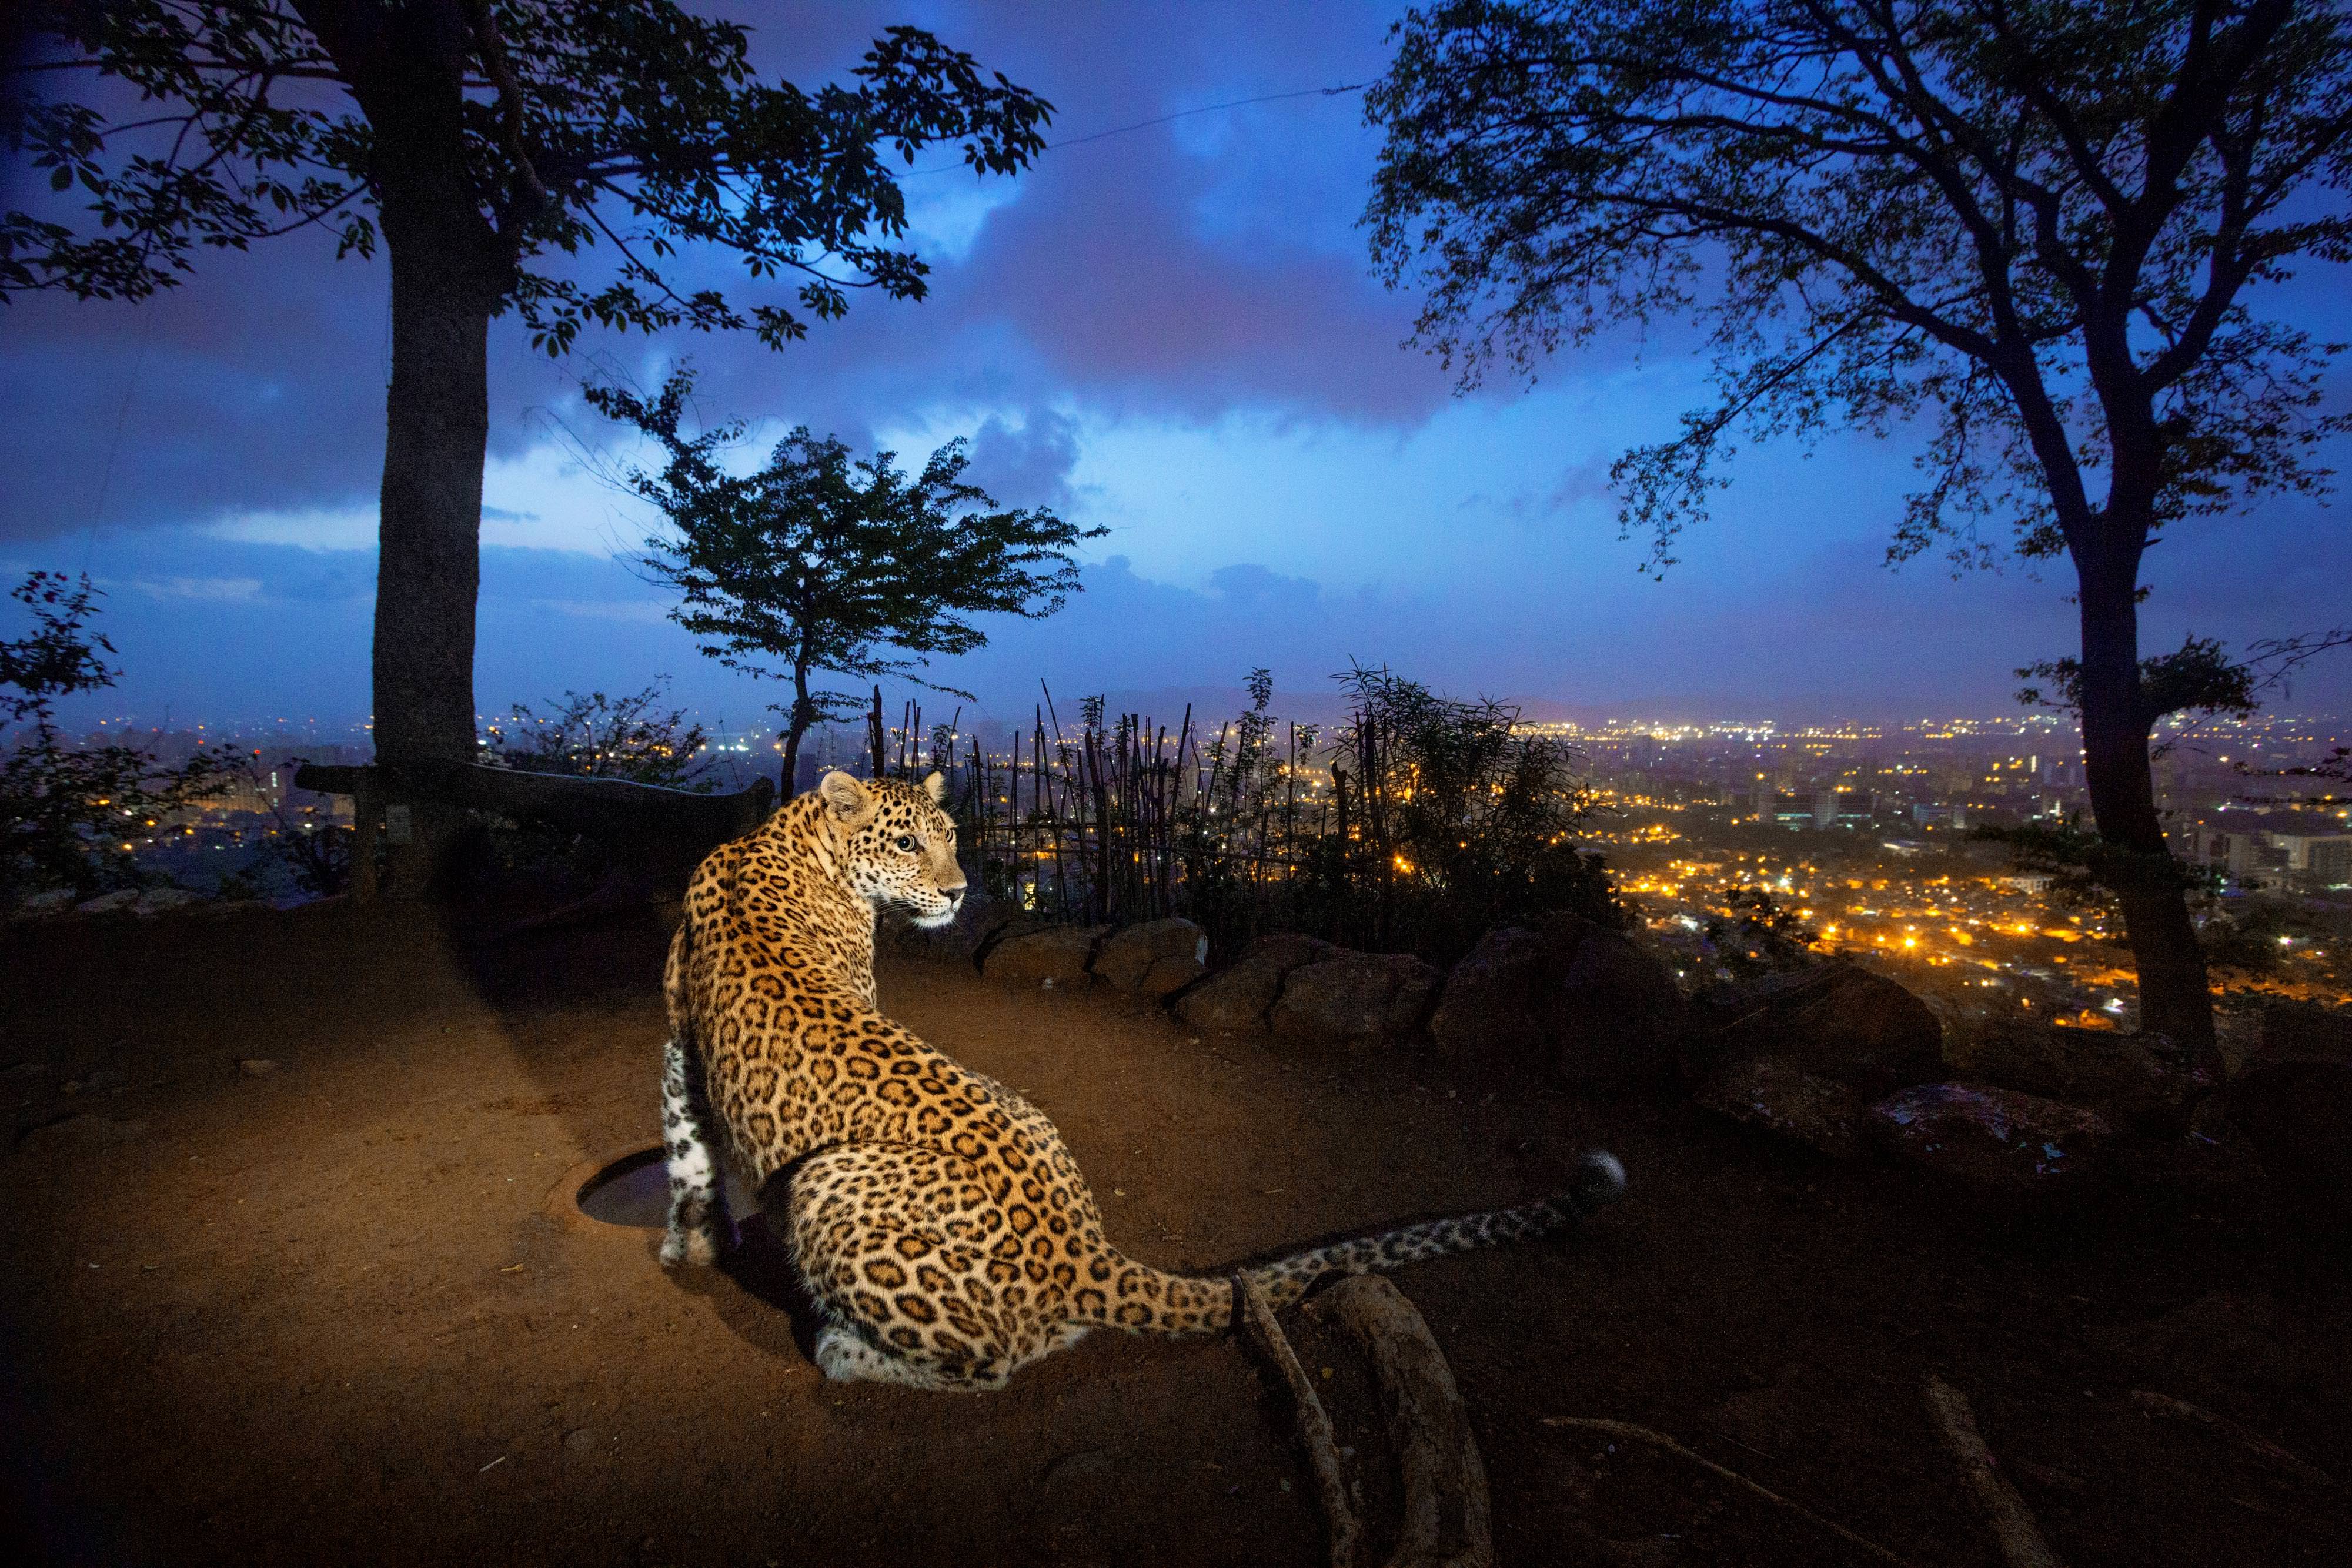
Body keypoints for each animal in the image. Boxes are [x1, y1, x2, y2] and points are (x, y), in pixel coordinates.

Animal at [654, 766, 1628, 1392]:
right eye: (905, 842)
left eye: (953, 838)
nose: (962, 889)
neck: (788, 838)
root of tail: (1086, 1247)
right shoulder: (682, 1039)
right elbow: (688, 1148)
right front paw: (697, 1242)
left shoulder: (686, 1041)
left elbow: (686, 1145)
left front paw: (694, 1245)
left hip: (828, 1178)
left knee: (994, 1363)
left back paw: (846, 1353)